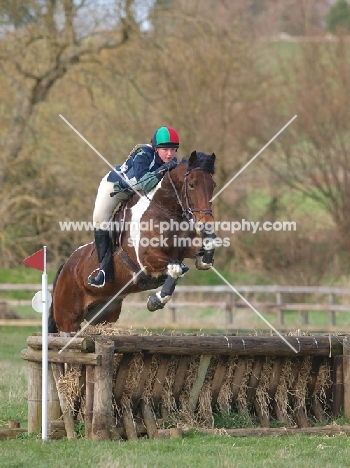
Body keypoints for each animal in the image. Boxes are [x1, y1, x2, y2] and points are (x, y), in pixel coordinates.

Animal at [46, 150, 216, 332]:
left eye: (213, 185)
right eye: (191, 184)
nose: (207, 223)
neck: (165, 211)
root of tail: (66, 266)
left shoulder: (184, 248)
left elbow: (208, 245)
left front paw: (203, 261)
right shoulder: (146, 259)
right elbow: (176, 267)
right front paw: (156, 300)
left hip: (104, 315)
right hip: (67, 320)